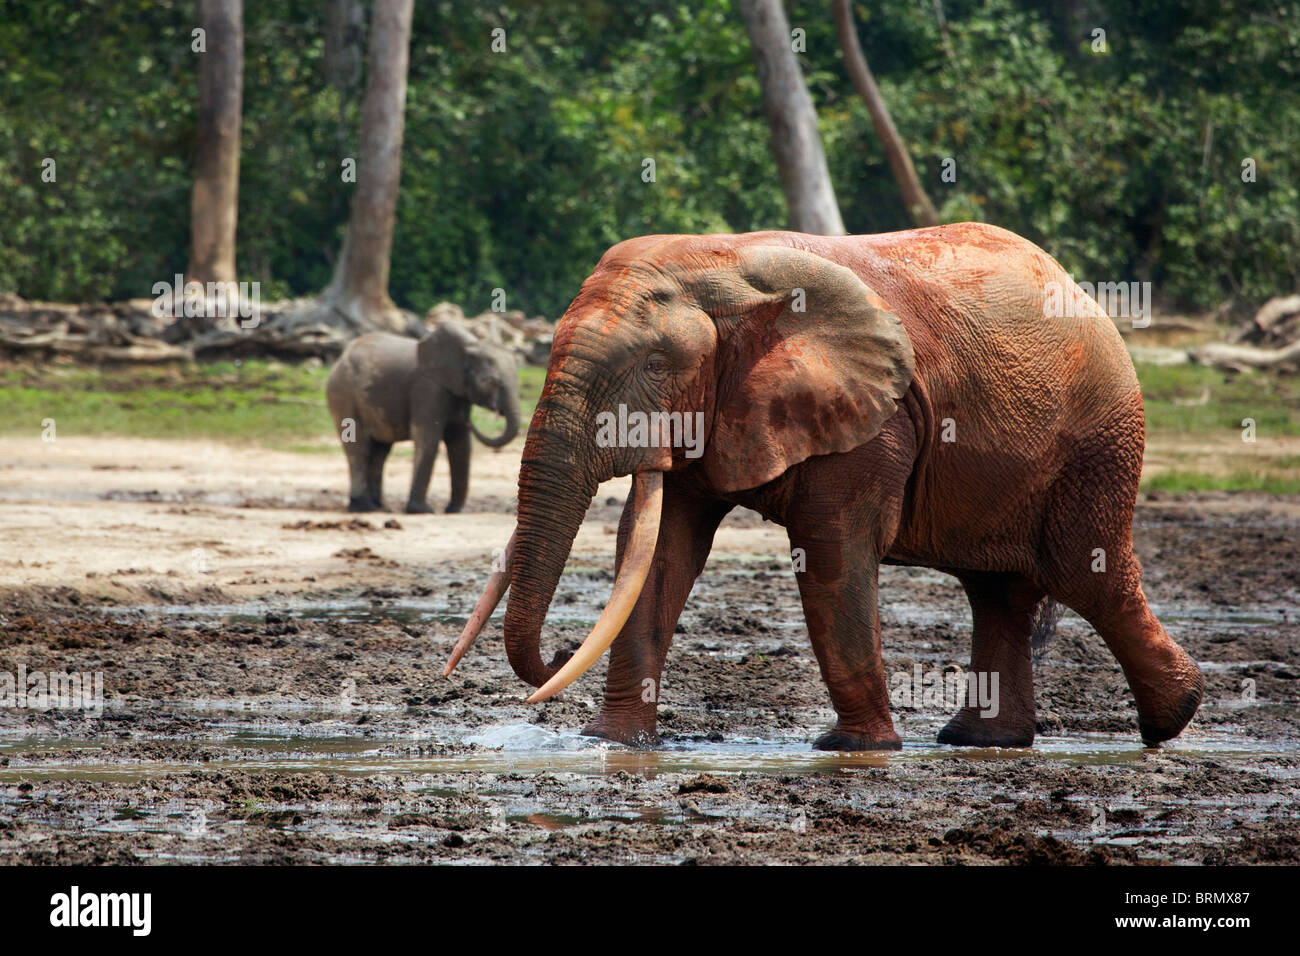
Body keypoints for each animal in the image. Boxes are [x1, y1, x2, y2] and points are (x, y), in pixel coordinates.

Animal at [327, 321, 520, 515]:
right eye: (493, 382)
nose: (470, 421)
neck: (468, 347)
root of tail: (339, 360)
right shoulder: (427, 387)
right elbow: (428, 436)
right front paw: (422, 511)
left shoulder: (457, 391)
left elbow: (460, 442)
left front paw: (454, 511)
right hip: (344, 395)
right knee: (360, 448)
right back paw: (363, 507)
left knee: (380, 450)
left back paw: (379, 506)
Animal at [441, 226, 1201, 754]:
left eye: (656, 363)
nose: (556, 658)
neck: (720, 262)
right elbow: (658, 553)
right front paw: (611, 743)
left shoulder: (872, 418)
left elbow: (832, 553)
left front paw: (854, 750)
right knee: (998, 592)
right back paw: (982, 741)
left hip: (1099, 438)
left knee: (1087, 574)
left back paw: (1173, 720)